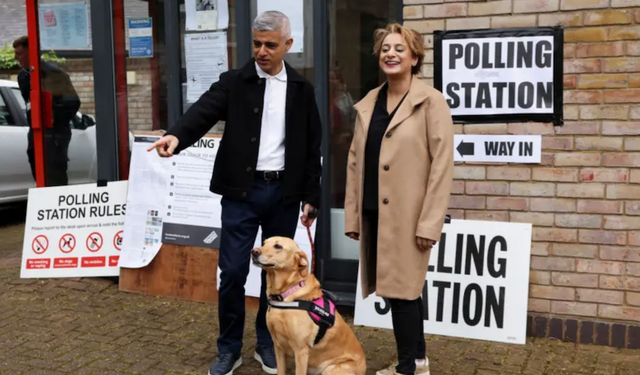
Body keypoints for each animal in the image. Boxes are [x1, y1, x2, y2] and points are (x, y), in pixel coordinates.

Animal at [252, 238, 368, 375]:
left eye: (278, 246)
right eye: (263, 243)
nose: (254, 251)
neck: (285, 295)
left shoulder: (301, 351)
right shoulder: (278, 346)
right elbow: (281, 371)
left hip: (330, 368)